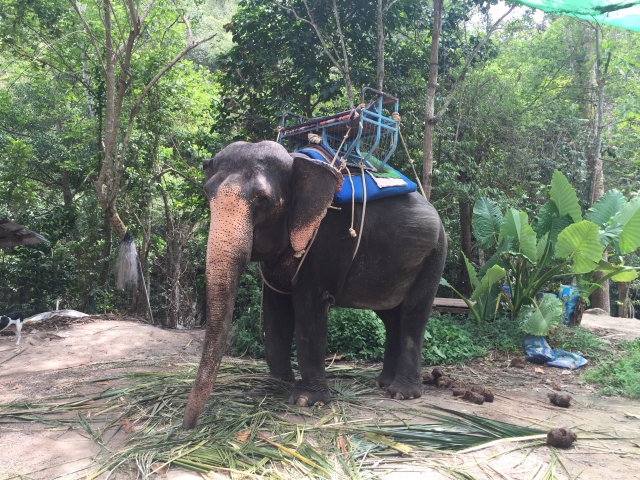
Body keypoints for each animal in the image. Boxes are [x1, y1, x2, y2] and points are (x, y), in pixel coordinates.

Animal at [183, 140, 447, 429]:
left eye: (263, 200)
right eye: (207, 194)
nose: (188, 427)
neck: (295, 161)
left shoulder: (326, 239)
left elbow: (309, 309)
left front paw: (305, 400)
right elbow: (276, 311)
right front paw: (277, 384)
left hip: (434, 255)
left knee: (413, 314)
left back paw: (401, 393)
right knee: (390, 316)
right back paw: (382, 382)